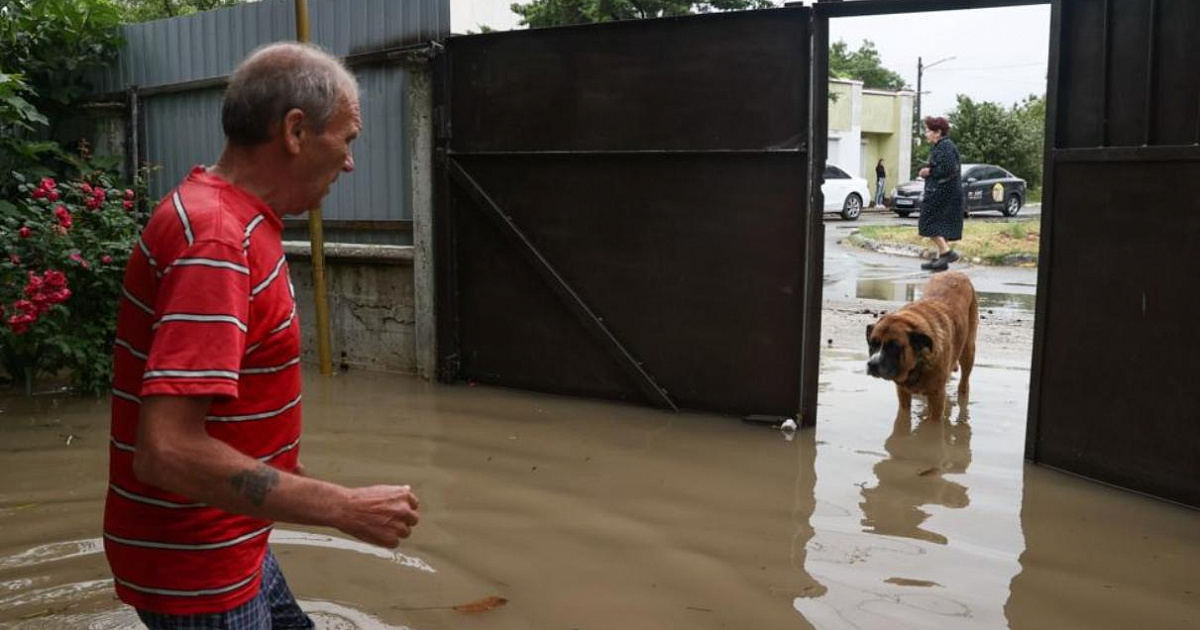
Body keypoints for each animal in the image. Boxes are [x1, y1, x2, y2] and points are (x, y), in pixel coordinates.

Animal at [868, 271, 979, 422]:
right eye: (872, 344)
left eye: (894, 347)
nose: (872, 364)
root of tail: (957, 273)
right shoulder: (903, 393)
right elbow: (903, 416)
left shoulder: (937, 397)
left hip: (968, 350)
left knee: (964, 382)